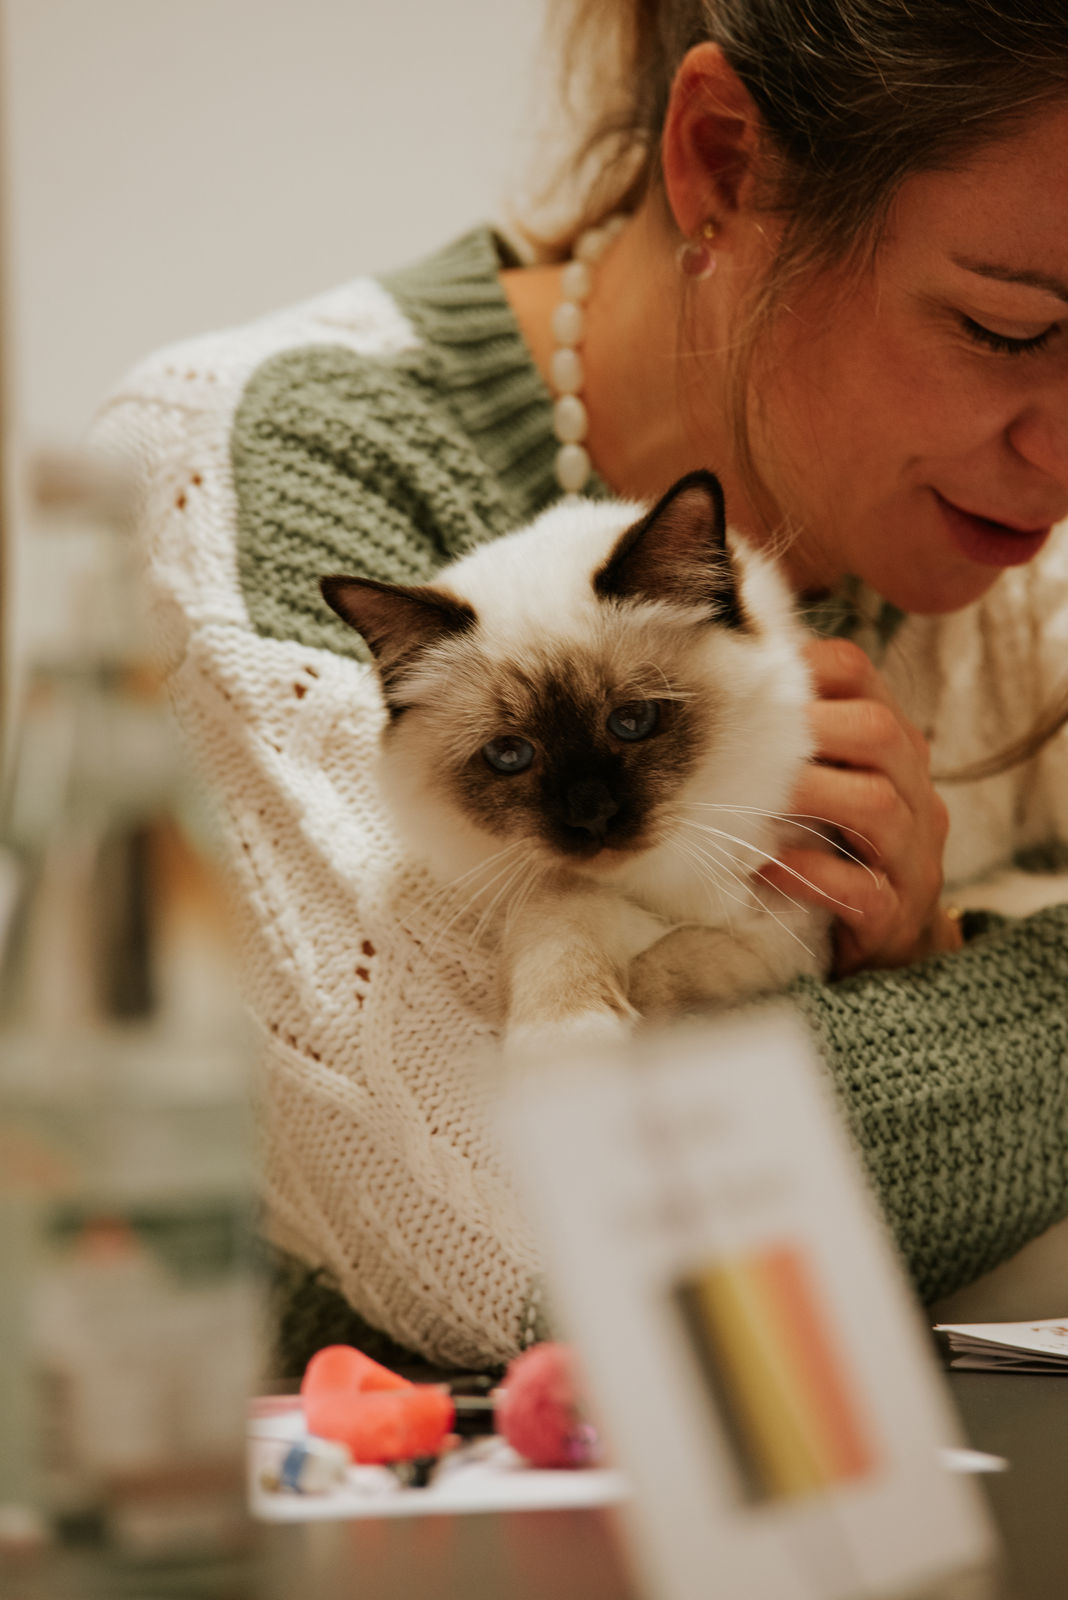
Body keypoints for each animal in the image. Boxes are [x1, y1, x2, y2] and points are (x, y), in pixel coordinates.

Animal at [321, 470, 831, 1066]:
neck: (646, 884)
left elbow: (689, 958)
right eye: (510, 755)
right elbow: (562, 905)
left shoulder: (795, 918)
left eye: (632, 721)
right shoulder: (551, 887)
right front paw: (567, 1041)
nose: (594, 818)